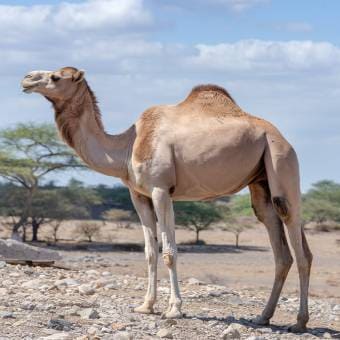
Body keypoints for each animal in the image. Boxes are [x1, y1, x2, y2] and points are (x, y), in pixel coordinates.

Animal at [21, 66, 314, 332]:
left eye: (56, 77)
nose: (27, 78)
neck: (127, 147)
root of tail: (282, 138)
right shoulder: (138, 194)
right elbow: (150, 251)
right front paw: (146, 305)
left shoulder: (161, 189)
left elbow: (169, 252)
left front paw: (174, 309)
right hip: (261, 184)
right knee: (281, 250)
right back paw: (263, 317)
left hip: (282, 162)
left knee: (300, 249)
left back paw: (299, 322)